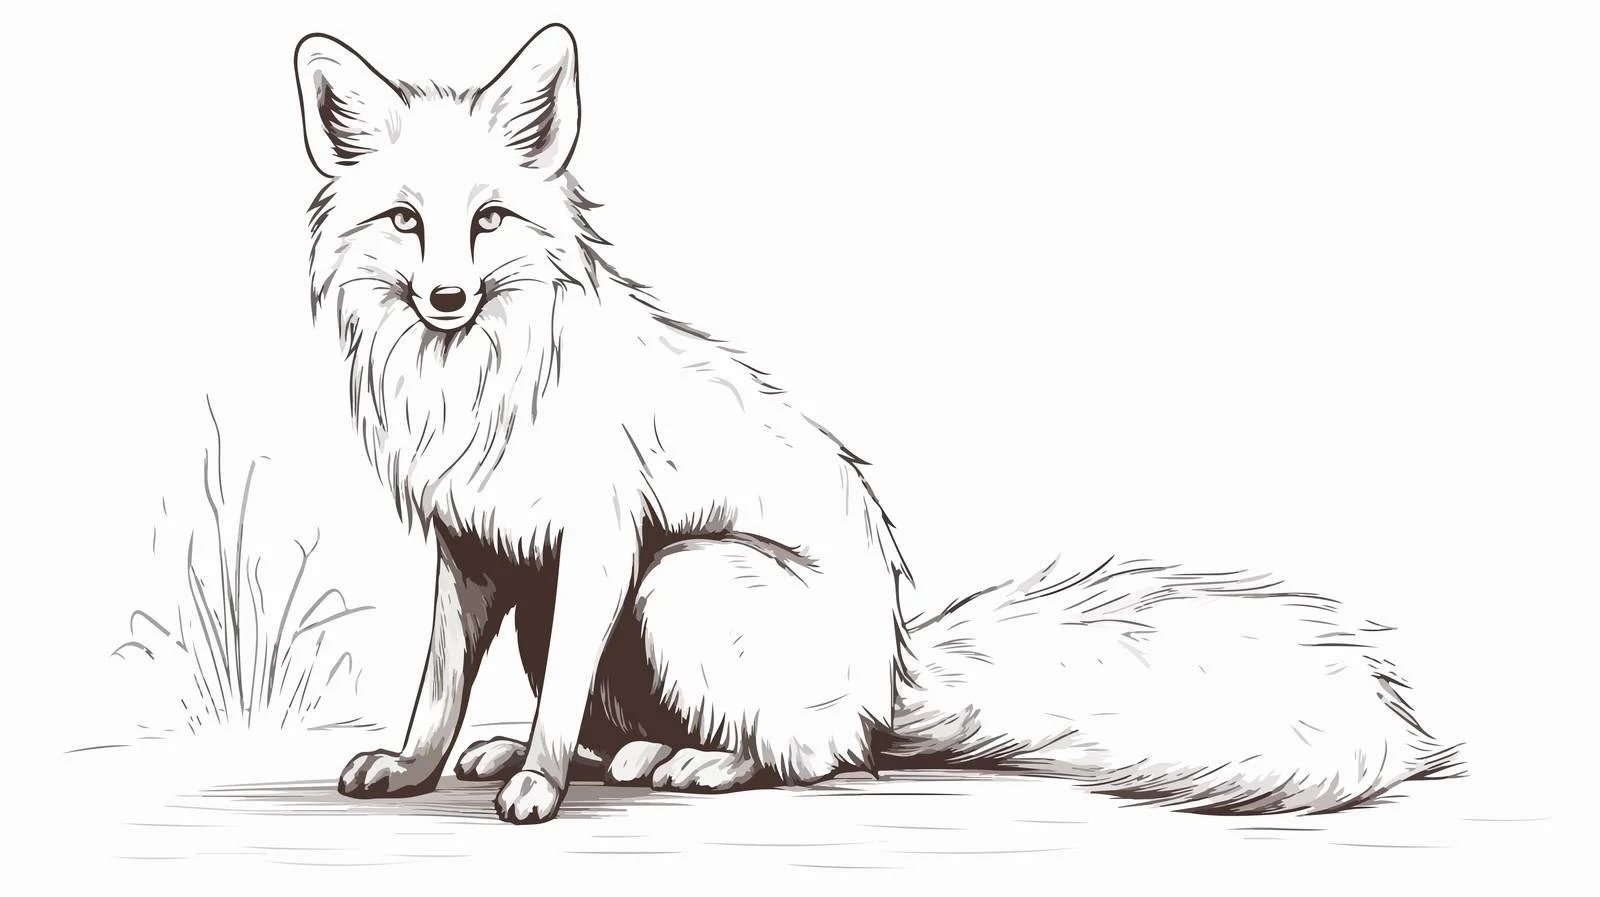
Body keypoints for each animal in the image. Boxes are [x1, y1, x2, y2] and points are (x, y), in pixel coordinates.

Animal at [293, 24, 1460, 825]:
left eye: (489, 219)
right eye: (407, 221)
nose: (447, 298)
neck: (471, 383)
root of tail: (892, 675)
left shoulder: (599, 540)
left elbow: (555, 696)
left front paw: (533, 789)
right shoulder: (474, 549)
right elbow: (438, 685)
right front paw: (417, 767)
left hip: (680, 578)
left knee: (815, 758)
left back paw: (699, 762)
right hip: (570, 605)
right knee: (633, 729)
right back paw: (584, 754)